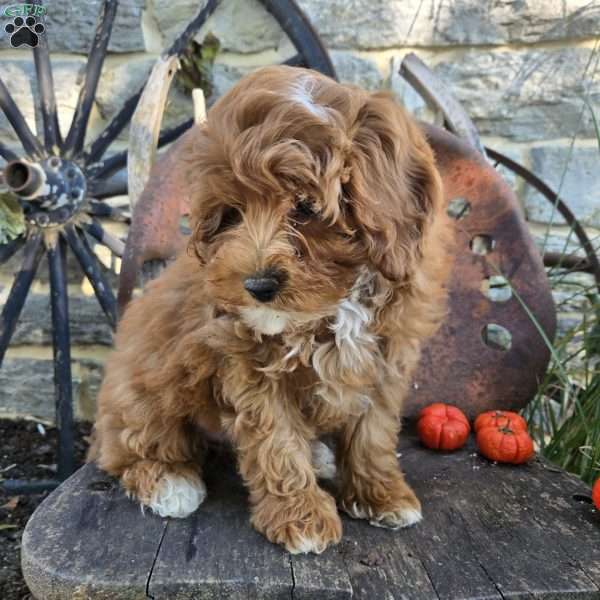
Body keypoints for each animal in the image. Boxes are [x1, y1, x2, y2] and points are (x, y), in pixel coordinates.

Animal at [89, 64, 452, 552]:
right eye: (231, 214)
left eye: (306, 208)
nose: (257, 284)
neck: (335, 304)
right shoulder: (249, 364)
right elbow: (277, 442)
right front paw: (302, 519)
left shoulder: (385, 356)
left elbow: (373, 432)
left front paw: (382, 495)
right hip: (145, 387)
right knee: (129, 446)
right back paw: (168, 482)